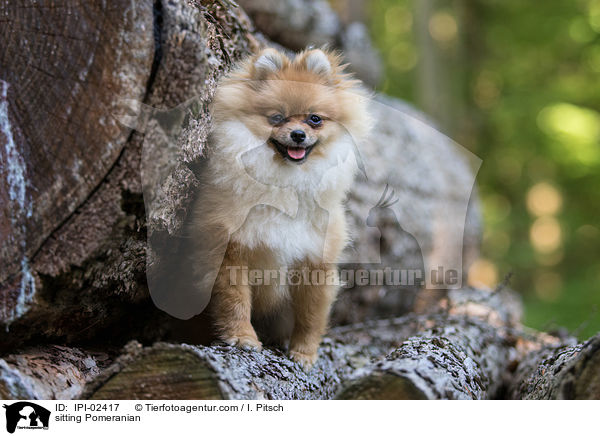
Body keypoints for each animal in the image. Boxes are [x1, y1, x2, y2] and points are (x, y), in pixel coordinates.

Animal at [192, 47, 370, 368]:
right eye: (277, 118)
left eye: (315, 119)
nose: (298, 134)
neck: (286, 183)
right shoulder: (229, 251)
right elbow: (234, 301)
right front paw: (243, 337)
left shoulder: (315, 259)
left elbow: (311, 316)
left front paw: (304, 353)